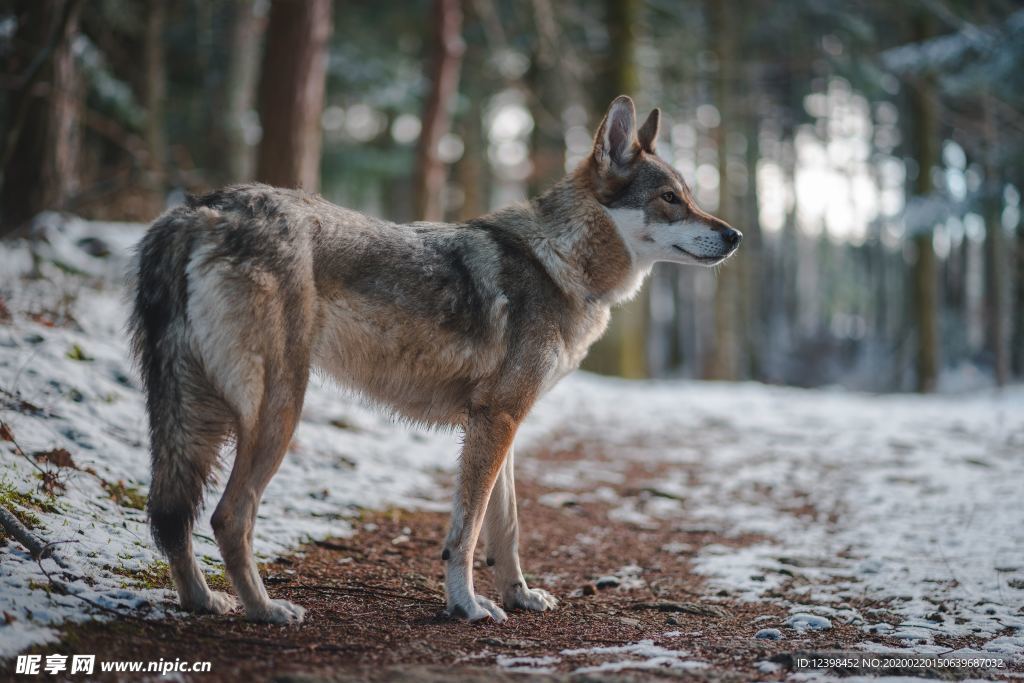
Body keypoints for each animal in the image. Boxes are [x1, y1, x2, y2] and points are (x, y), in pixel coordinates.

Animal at [128, 94, 741, 626]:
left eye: (690, 195)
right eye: (670, 198)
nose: (735, 235)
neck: (560, 262)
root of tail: (199, 208)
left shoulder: (503, 423)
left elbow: (506, 528)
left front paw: (519, 596)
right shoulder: (496, 421)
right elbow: (465, 534)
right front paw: (466, 606)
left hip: (193, 415)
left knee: (171, 515)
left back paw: (203, 601)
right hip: (277, 412)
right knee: (228, 517)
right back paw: (265, 609)